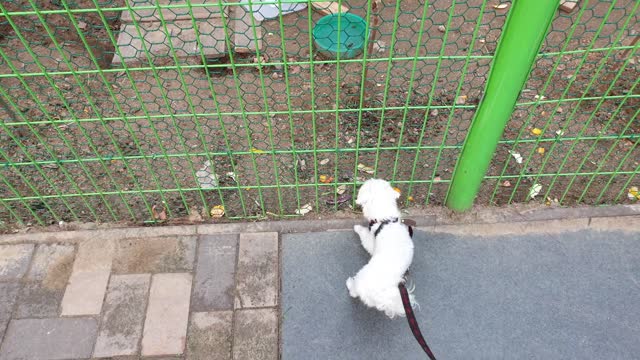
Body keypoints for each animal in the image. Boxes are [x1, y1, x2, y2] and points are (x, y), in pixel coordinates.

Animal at [348, 178, 418, 318]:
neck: (386, 220)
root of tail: (381, 295)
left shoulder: (371, 241)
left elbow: (364, 237)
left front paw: (357, 228)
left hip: (361, 277)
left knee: (354, 290)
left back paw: (349, 284)